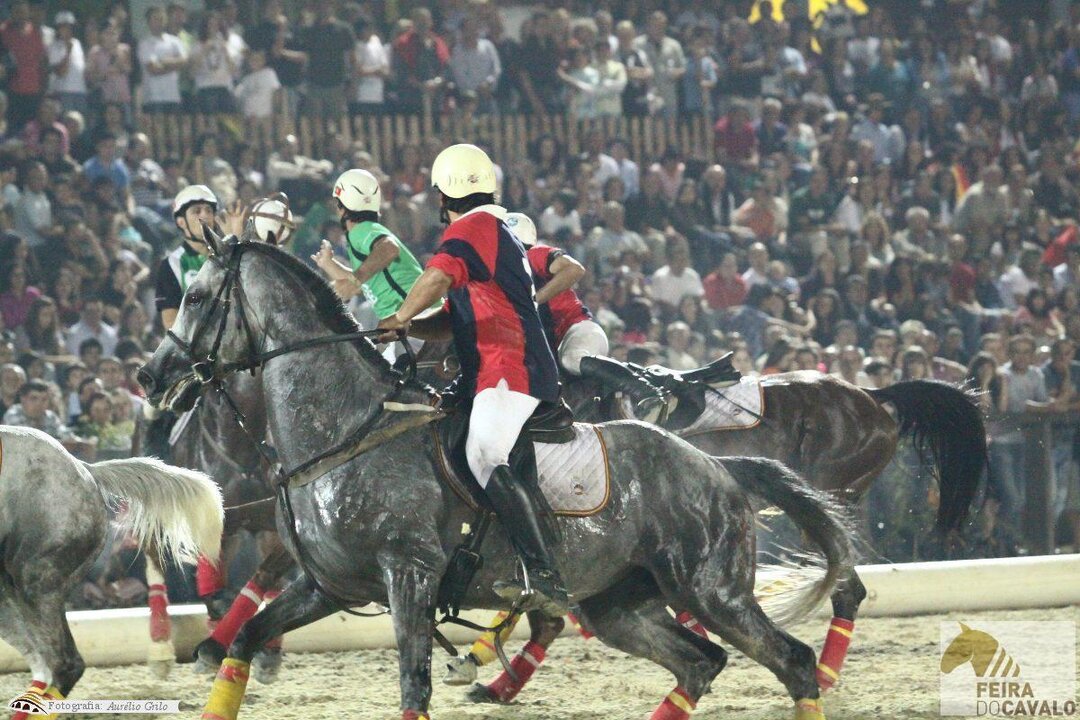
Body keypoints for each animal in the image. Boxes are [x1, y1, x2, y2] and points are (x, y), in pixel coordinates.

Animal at [139, 231, 860, 720]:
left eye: (196, 296)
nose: (150, 376)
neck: (347, 429)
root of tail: (715, 467)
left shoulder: (409, 576)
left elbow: (413, 684)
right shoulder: (329, 586)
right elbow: (247, 637)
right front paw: (221, 651)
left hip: (712, 590)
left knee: (790, 661)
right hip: (619, 604)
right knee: (700, 662)